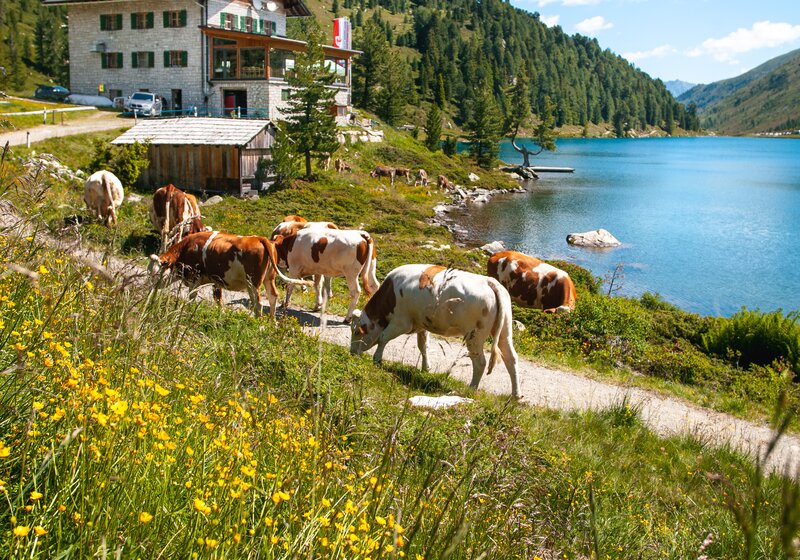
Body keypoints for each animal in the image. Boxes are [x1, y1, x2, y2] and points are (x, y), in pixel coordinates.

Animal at [147, 230, 311, 318]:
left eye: (155, 273)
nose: (149, 288)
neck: (187, 249)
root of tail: (259, 238)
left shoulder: (195, 278)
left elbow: (191, 297)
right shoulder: (216, 280)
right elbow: (218, 299)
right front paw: (221, 314)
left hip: (253, 282)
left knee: (258, 303)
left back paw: (258, 323)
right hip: (268, 279)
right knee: (272, 297)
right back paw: (272, 322)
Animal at [350, 264, 521, 398]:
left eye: (357, 332)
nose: (351, 353)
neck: (390, 294)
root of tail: (489, 281)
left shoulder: (401, 322)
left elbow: (383, 338)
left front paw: (377, 359)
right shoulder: (421, 325)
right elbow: (423, 346)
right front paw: (426, 368)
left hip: (475, 335)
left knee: (480, 362)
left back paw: (472, 389)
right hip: (505, 331)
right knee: (511, 358)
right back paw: (515, 395)